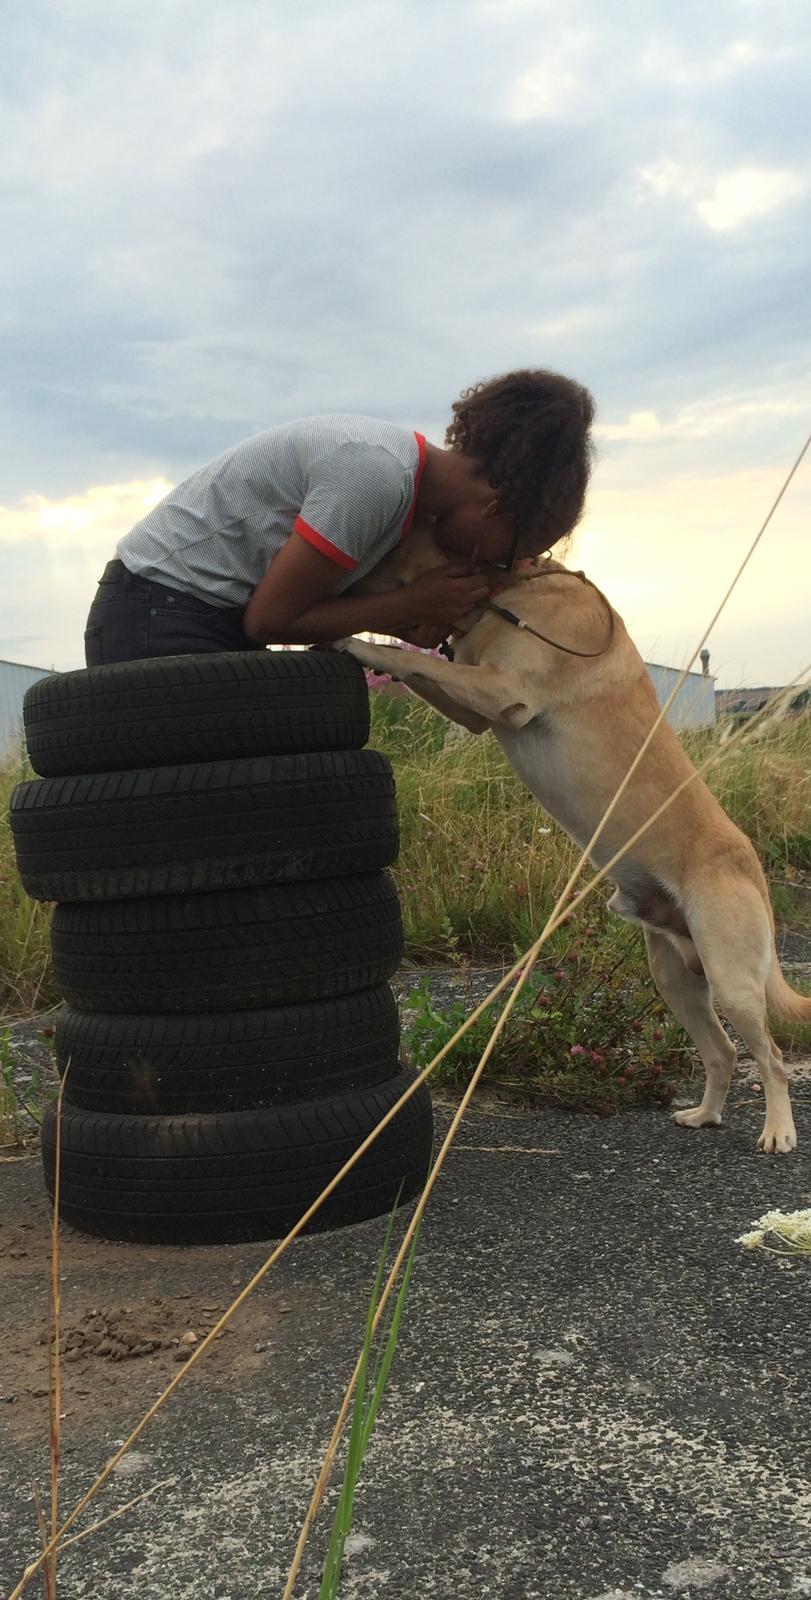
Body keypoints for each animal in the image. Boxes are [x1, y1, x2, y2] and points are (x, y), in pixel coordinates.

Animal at [339, 528, 809, 1152]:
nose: (341, 585)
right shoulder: (476, 709)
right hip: (676, 980)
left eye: (395, 545)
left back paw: (778, 1131)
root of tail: (751, 861)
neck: (511, 593)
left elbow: (403, 655)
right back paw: (705, 1115)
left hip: (731, 980)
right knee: (723, 1052)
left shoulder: (505, 691)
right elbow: (419, 668)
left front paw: (351, 641)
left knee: (772, 1057)